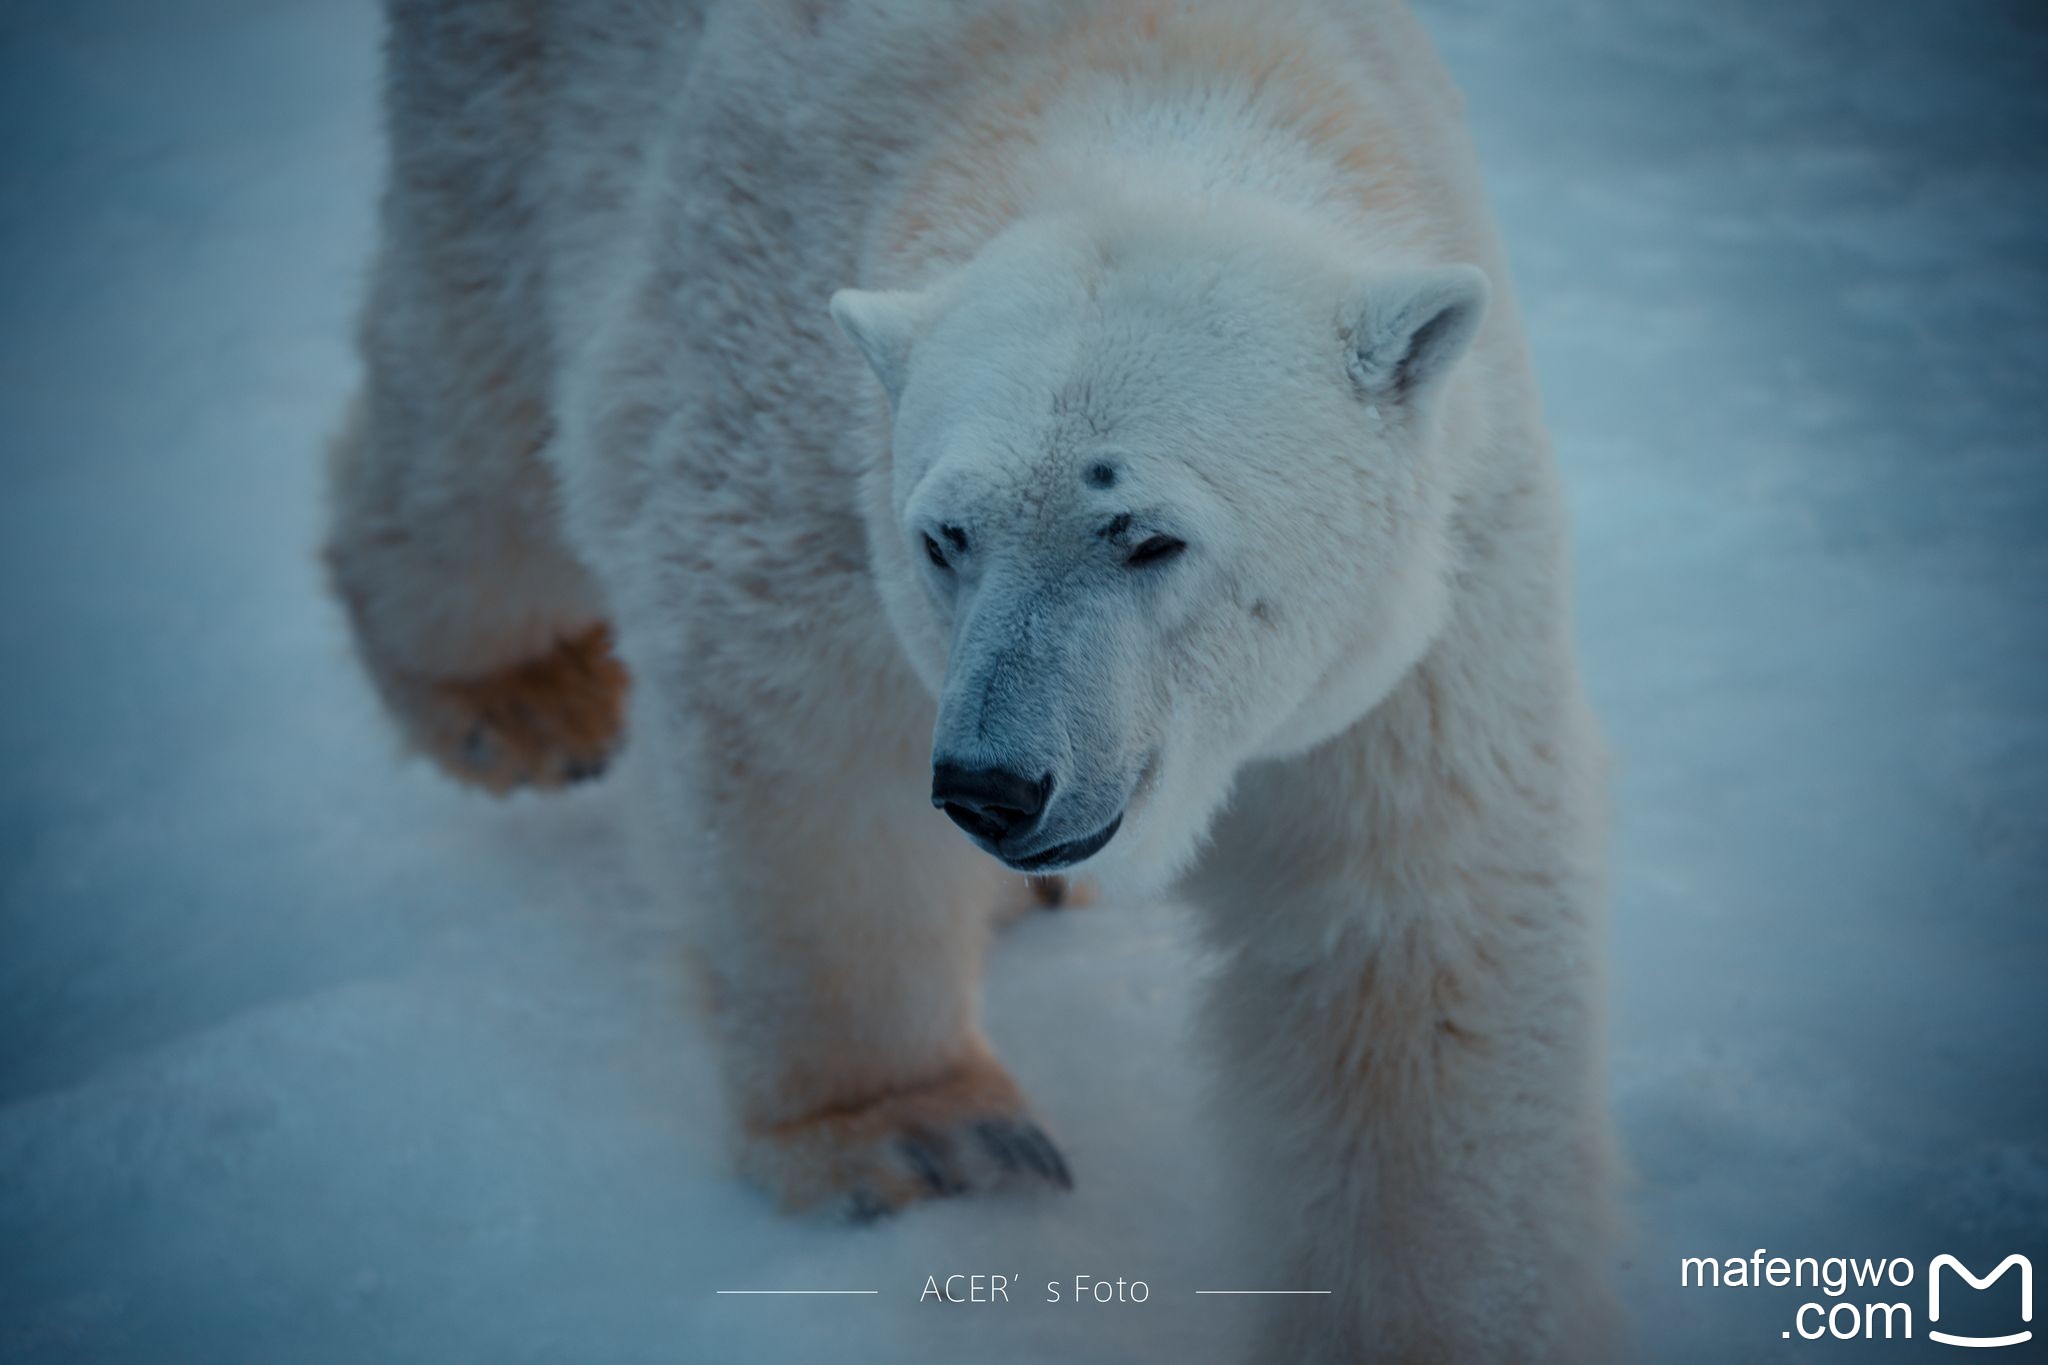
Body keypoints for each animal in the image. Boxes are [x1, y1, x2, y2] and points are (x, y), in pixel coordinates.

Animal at [327, 0, 1613, 1358]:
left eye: (1146, 534)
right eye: (944, 535)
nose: (994, 786)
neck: (1148, 69)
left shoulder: (1430, 592)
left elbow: (1409, 938)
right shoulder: (784, 421)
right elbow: (801, 749)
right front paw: (927, 1141)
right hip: (509, 118)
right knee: (480, 433)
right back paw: (521, 697)